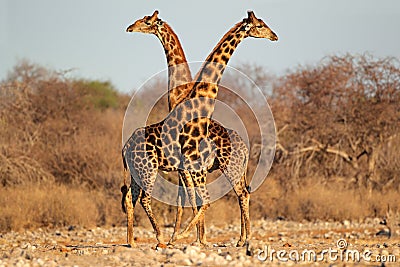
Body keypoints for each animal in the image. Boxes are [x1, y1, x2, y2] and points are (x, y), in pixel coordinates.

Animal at [122, 10, 278, 249]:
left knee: (242, 193)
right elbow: (194, 200)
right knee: (139, 198)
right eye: (260, 25)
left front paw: (194, 238)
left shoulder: (191, 168)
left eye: (146, 21)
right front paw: (189, 238)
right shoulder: (188, 168)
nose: (274, 36)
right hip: (146, 169)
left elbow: (194, 200)